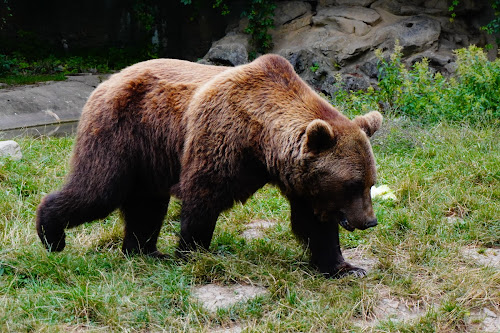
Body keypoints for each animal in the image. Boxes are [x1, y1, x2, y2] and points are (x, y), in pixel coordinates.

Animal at [36, 54, 382, 276]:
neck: (261, 140)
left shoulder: (299, 178)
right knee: (99, 189)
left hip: (150, 155)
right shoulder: (220, 137)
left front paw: (347, 268)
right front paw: (193, 254)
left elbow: (314, 223)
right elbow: (202, 197)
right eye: (352, 184)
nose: (369, 221)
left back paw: (146, 251)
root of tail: (109, 79)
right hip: (121, 131)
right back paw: (51, 234)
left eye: (370, 182)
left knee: (146, 204)